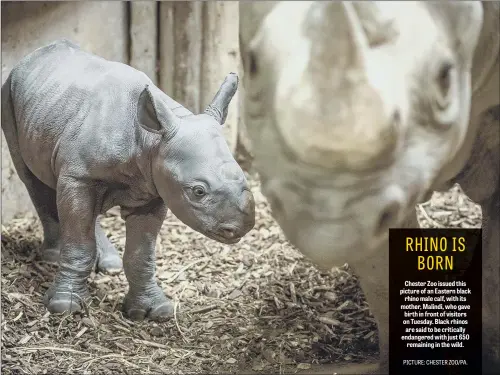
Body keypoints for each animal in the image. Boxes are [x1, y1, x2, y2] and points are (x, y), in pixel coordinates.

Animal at [1, 39, 256, 324]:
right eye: (198, 191)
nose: (241, 227)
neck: (151, 140)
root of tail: (34, 54)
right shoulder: (80, 174)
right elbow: (79, 239)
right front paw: (65, 305)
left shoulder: (154, 188)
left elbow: (140, 254)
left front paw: (153, 310)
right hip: (9, 92)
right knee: (33, 180)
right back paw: (54, 257)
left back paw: (107, 262)